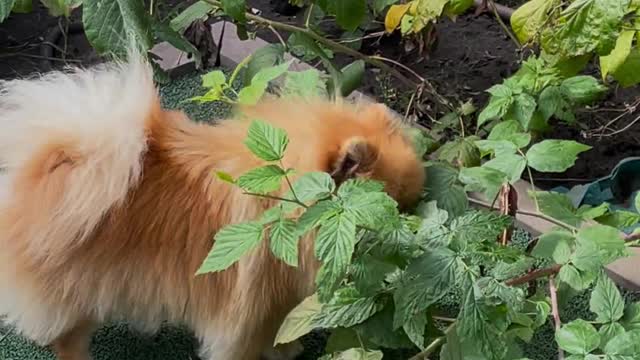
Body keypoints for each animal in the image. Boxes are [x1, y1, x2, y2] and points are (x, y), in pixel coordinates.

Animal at [0, 54, 424, 360]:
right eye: (388, 208)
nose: (411, 228)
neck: (281, 200)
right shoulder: (250, 309)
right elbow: (250, 340)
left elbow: (281, 326)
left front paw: (286, 347)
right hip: (75, 291)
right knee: (66, 336)